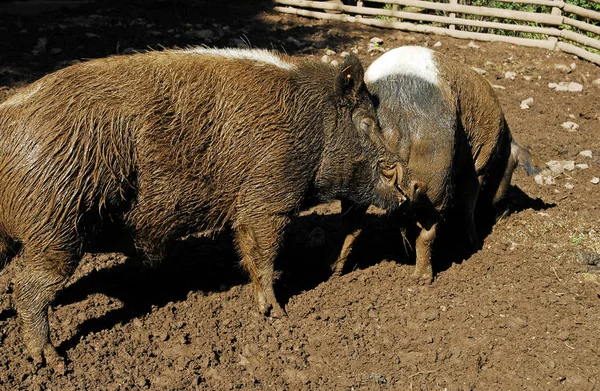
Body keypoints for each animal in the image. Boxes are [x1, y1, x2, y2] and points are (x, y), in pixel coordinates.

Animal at [0, 47, 406, 370]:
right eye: (367, 123)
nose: (400, 175)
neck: (314, 127)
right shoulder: (267, 199)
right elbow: (264, 255)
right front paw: (276, 314)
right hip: (55, 225)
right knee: (29, 287)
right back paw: (51, 360)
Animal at [330, 46, 540, 284]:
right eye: (512, 170)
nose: (506, 213)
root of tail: (397, 114)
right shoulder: (478, 165)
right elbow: (468, 204)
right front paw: (475, 243)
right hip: (435, 169)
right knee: (427, 232)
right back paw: (423, 279)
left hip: (358, 176)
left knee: (349, 227)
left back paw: (336, 272)